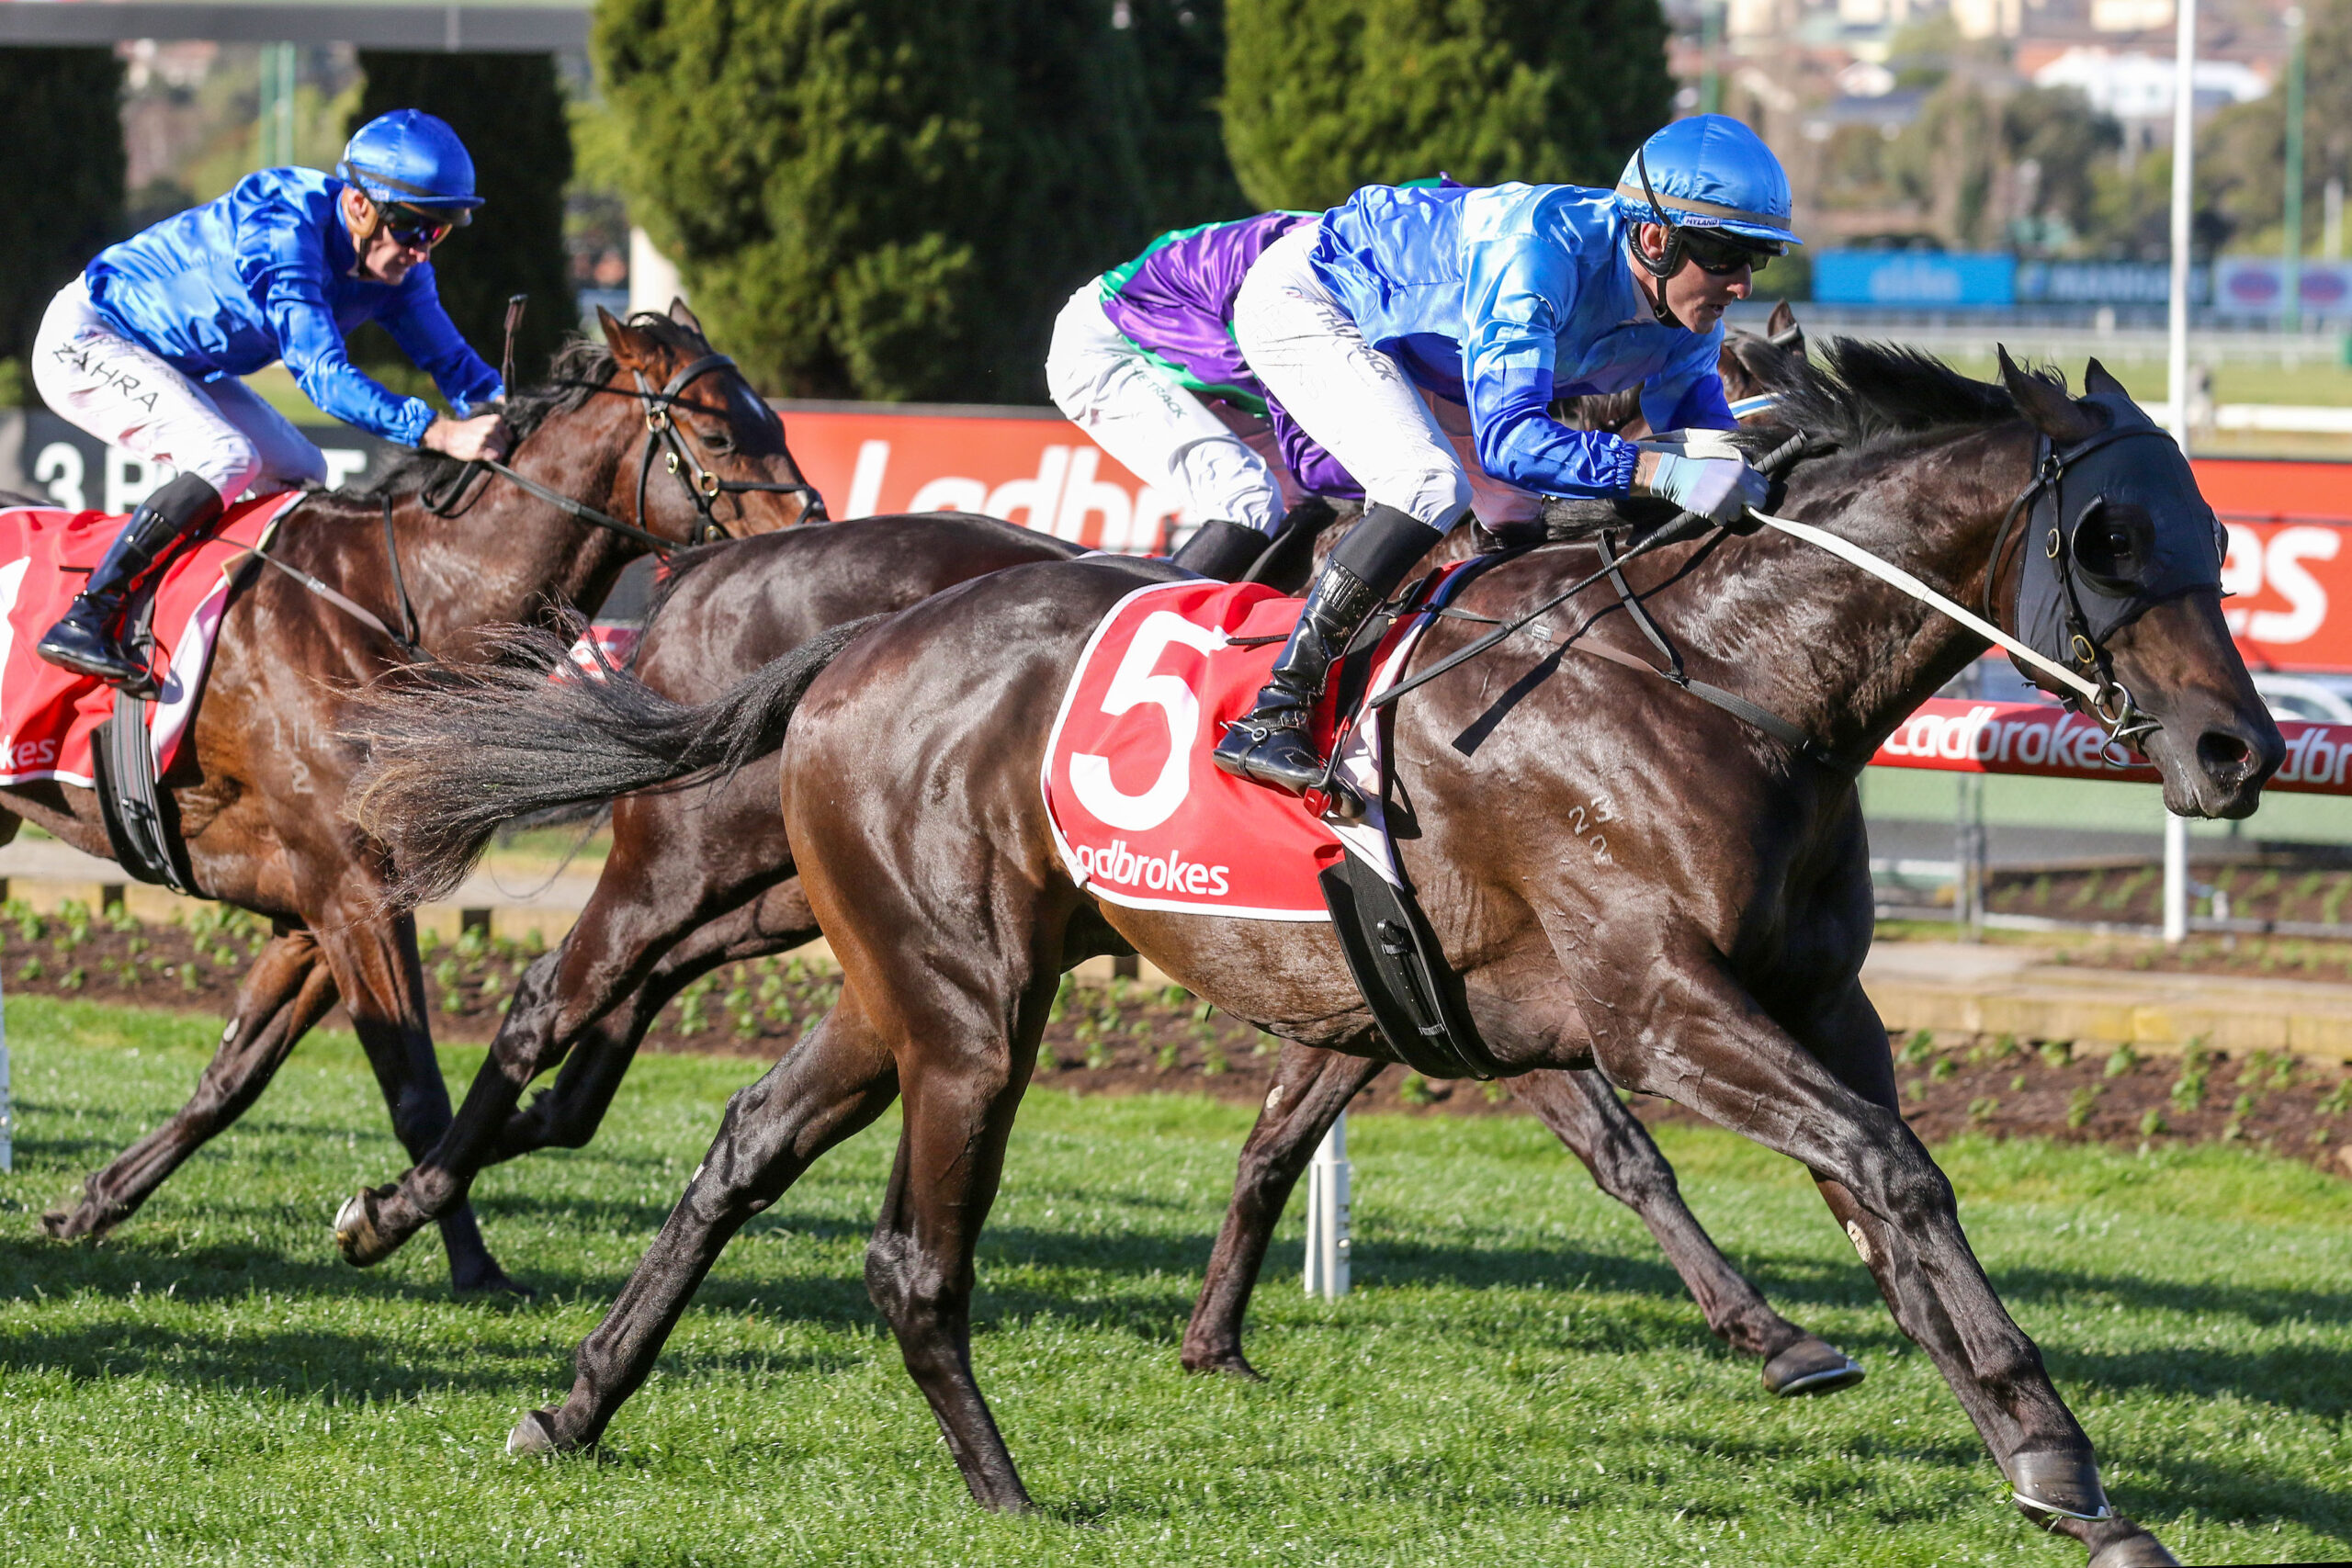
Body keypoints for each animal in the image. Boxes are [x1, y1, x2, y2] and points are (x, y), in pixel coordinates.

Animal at [24, 302, 821, 1296]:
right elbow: (416, 1092)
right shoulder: (353, 897)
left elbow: (233, 1076)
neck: (399, 611)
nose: (816, 524)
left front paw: (92, 1202)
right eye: (717, 435)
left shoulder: (321, 910)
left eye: (776, 422)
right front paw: (458, 1255)